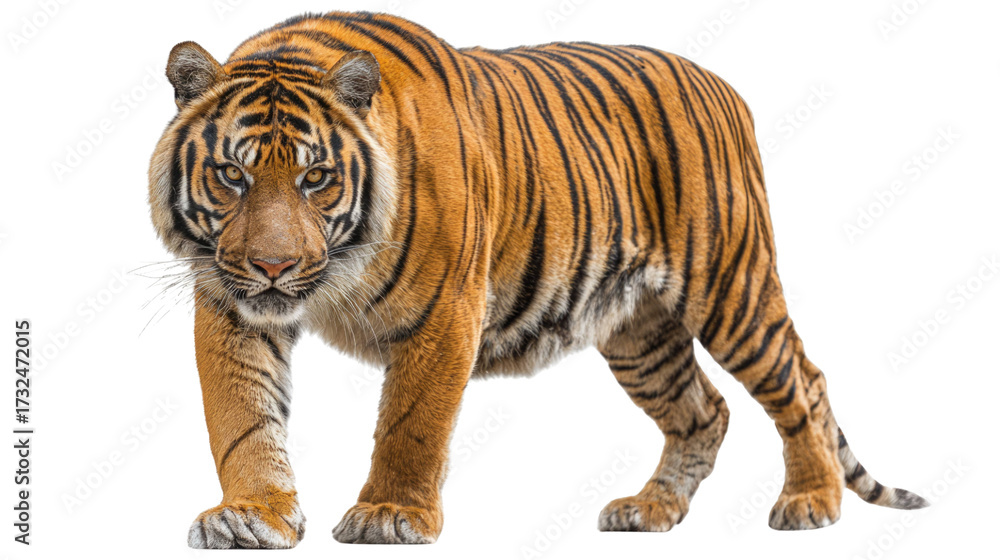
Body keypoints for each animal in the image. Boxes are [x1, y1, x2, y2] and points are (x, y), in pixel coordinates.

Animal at [148, 10, 928, 548]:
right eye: (232, 174)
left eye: (315, 178)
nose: (273, 267)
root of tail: (723, 85)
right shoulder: (229, 304)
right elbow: (243, 419)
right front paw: (251, 516)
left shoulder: (445, 313)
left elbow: (411, 423)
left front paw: (390, 514)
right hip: (639, 332)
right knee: (705, 410)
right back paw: (650, 510)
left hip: (731, 289)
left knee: (801, 382)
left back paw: (812, 501)